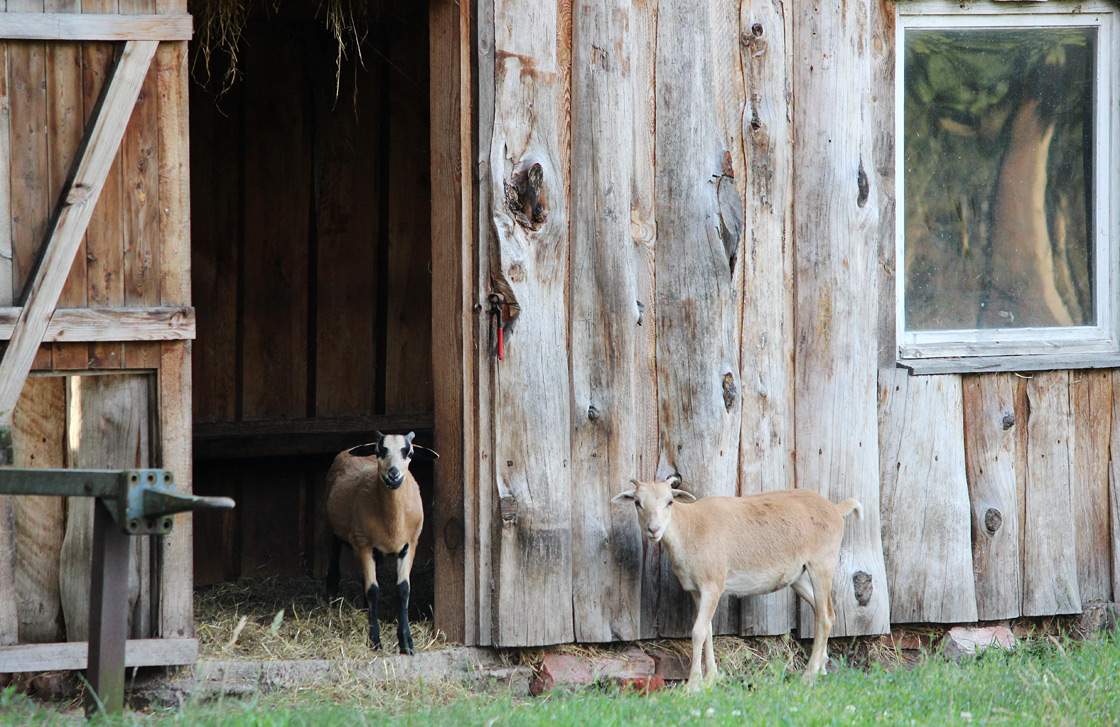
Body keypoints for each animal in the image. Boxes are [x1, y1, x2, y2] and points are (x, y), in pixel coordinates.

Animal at [325, 431, 438, 654]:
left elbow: (403, 590)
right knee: (334, 557)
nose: (393, 474)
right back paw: (332, 596)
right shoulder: (364, 545)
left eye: (409, 452)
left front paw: (406, 644)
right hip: (336, 529)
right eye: (380, 451)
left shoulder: (410, 545)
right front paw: (375, 641)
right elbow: (373, 590)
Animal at [612, 474, 862, 690]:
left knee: (825, 616)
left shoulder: (713, 585)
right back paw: (821, 667)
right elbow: (708, 631)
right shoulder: (697, 591)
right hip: (798, 576)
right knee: (826, 612)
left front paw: (693, 685)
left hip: (822, 564)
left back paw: (808, 675)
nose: (653, 530)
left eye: (670, 501)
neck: (690, 528)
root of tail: (836, 509)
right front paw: (711, 678)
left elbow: (698, 631)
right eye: (637, 502)